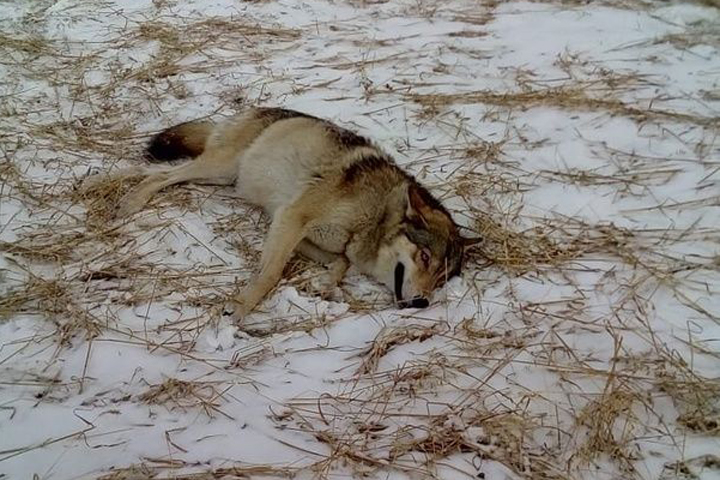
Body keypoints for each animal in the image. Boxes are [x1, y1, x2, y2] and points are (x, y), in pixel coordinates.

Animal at [90, 108, 480, 318]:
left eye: (443, 278)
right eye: (424, 257)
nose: (422, 302)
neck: (375, 214)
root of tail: (252, 110)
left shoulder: (288, 225)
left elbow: (341, 263)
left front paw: (327, 286)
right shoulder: (292, 219)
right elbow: (270, 275)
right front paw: (239, 309)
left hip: (221, 177)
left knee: (151, 171)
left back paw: (104, 184)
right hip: (220, 167)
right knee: (159, 175)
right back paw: (128, 201)